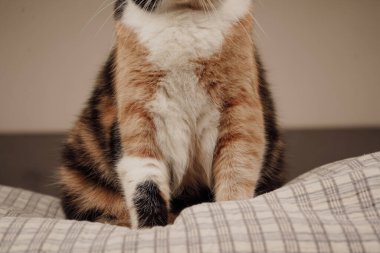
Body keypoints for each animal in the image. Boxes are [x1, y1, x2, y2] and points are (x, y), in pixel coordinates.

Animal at [59, 0, 284, 229]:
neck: (182, 19)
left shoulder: (241, 111)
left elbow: (237, 172)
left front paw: (229, 212)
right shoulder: (137, 119)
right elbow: (145, 184)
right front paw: (152, 230)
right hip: (77, 175)